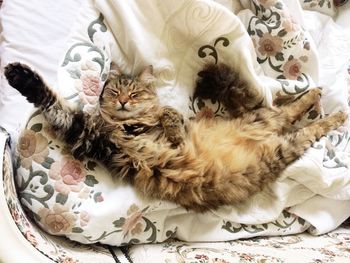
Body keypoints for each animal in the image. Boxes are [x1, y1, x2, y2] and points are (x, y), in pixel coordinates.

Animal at [4, 61, 348, 212]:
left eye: (134, 93)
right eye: (115, 92)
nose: (123, 101)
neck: (129, 126)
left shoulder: (93, 130)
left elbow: (170, 114)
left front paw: (173, 129)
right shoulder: (88, 132)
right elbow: (51, 100)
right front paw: (20, 76)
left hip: (278, 135)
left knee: (300, 119)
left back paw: (330, 107)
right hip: (279, 140)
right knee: (293, 118)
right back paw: (324, 103)